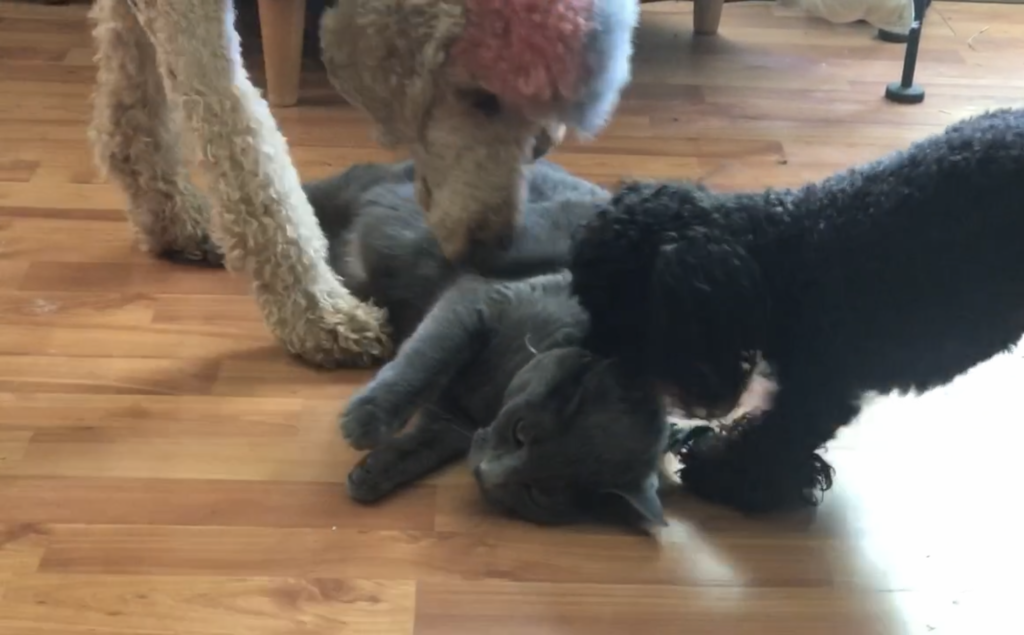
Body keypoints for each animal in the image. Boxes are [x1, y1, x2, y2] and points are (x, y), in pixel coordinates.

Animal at [303, 160, 671, 528]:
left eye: (537, 494)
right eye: (521, 431)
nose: (484, 473)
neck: (493, 396)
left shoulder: (455, 420)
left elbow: (427, 446)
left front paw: (374, 473)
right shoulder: (479, 301)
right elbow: (425, 361)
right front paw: (366, 419)